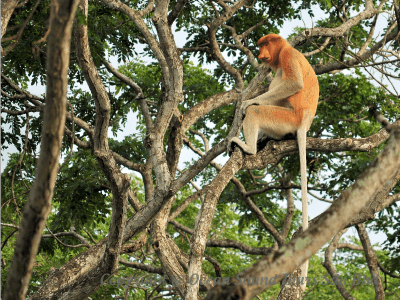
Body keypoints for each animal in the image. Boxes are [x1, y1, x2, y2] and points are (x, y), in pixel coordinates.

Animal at [228, 33, 318, 290]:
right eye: (259, 45)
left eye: (266, 43)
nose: (260, 54)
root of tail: (303, 123)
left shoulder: (287, 55)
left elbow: (294, 84)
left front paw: (246, 103)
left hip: (286, 117)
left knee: (259, 112)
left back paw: (248, 146)